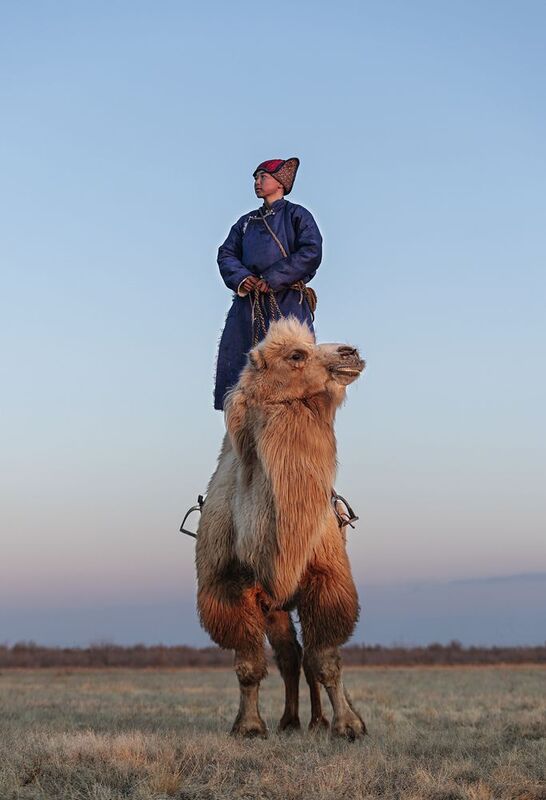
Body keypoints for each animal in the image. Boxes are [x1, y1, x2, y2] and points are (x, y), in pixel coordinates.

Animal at [195, 317, 366, 738]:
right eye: (296, 355)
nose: (350, 352)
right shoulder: (228, 587)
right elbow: (249, 665)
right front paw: (249, 726)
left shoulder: (326, 580)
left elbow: (327, 660)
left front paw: (348, 725)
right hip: (274, 605)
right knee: (290, 655)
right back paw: (292, 720)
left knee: (306, 658)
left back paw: (320, 720)